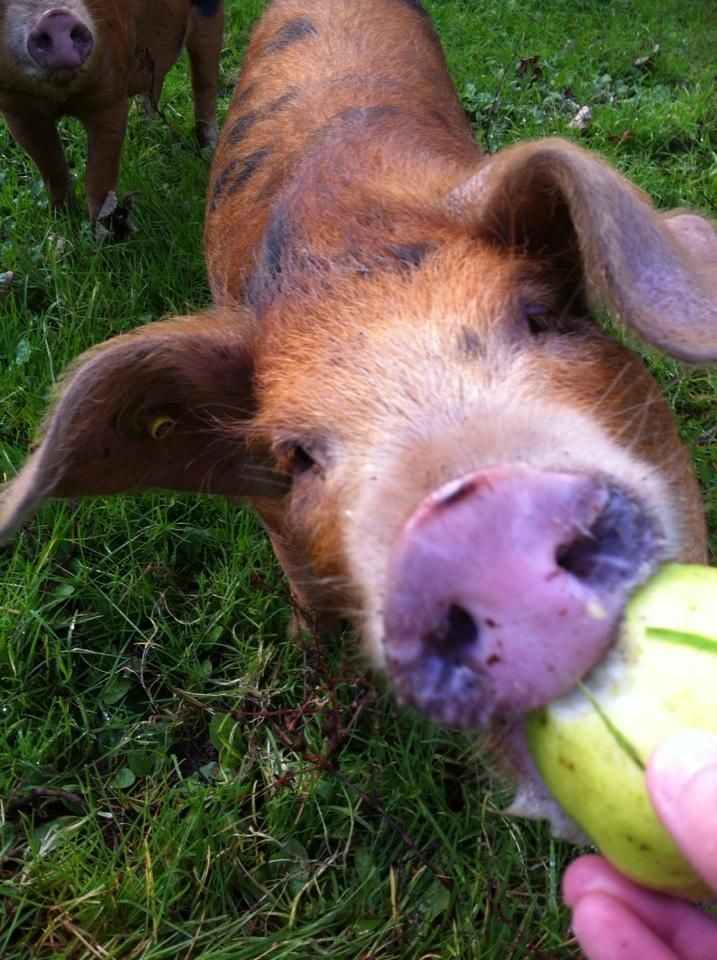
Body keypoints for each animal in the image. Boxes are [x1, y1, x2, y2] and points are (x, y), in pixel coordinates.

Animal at [0, 0, 224, 229]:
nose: (55, 17)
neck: (62, 95)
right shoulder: (16, 109)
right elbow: (50, 168)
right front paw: (62, 220)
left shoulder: (110, 94)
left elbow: (99, 175)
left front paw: (104, 233)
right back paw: (146, 130)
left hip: (208, 11)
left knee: (205, 80)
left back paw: (209, 149)